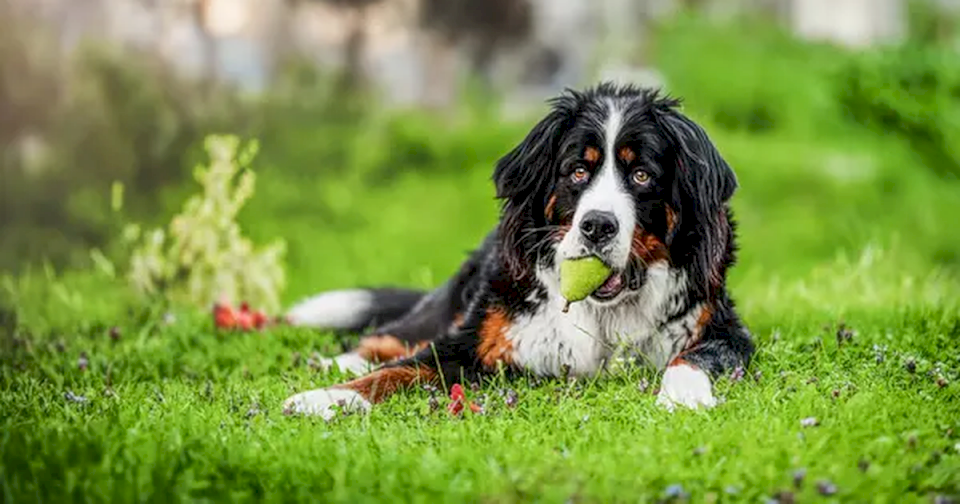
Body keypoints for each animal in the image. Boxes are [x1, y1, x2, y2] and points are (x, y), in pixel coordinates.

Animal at [282, 82, 752, 420]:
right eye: (577, 171)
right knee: (390, 338)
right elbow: (400, 368)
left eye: (641, 175)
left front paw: (683, 397)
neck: (602, 313)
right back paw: (333, 364)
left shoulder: (721, 330)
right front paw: (325, 399)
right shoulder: (474, 339)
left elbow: (694, 358)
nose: (597, 226)